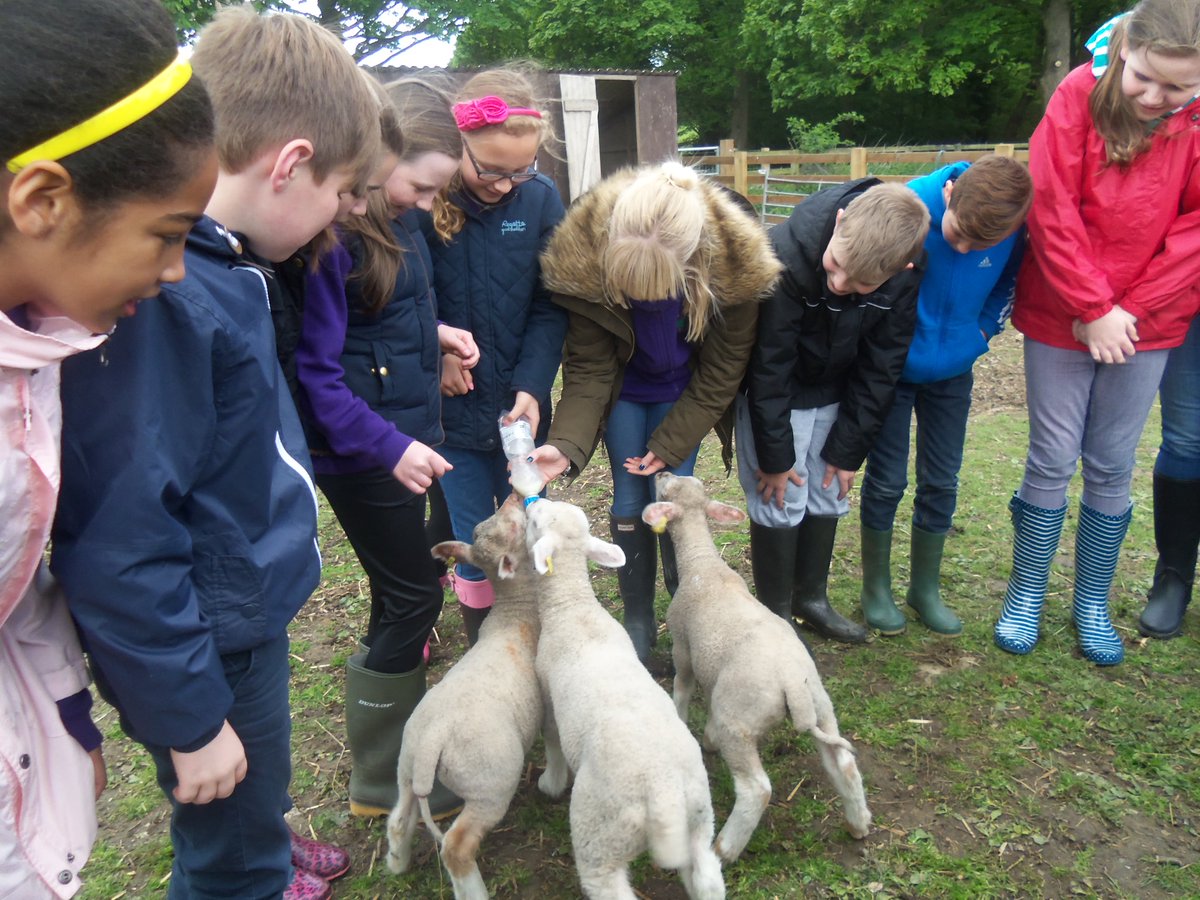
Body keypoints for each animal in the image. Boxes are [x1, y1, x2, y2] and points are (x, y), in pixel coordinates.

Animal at [386, 496, 547, 897]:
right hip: (490, 784)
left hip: (406, 766)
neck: (515, 611)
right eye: (516, 527)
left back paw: (397, 862)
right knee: (456, 847)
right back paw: (472, 889)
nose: (514, 497)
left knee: (399, 818)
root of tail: (432, 739)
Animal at [523, 501, 720, 900]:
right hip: (699, 816)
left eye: (534, 523)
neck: (572, 607)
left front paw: (549, 783)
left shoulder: (549, 699)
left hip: (600, 833)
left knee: (605, 883)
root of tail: (663, 794)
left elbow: (552, 742)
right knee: (707, 877)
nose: (532, 503)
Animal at [643, 472, 868, 868]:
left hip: (740, 721)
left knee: (756, 789)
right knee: (842, 764)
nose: (660, 473)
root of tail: (793, 684)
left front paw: (683, 722)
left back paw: (724, 848)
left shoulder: (684, 650)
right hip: (820, 705)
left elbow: (682, 689)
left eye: (667, 490)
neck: (701, 562)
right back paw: (859, 823)